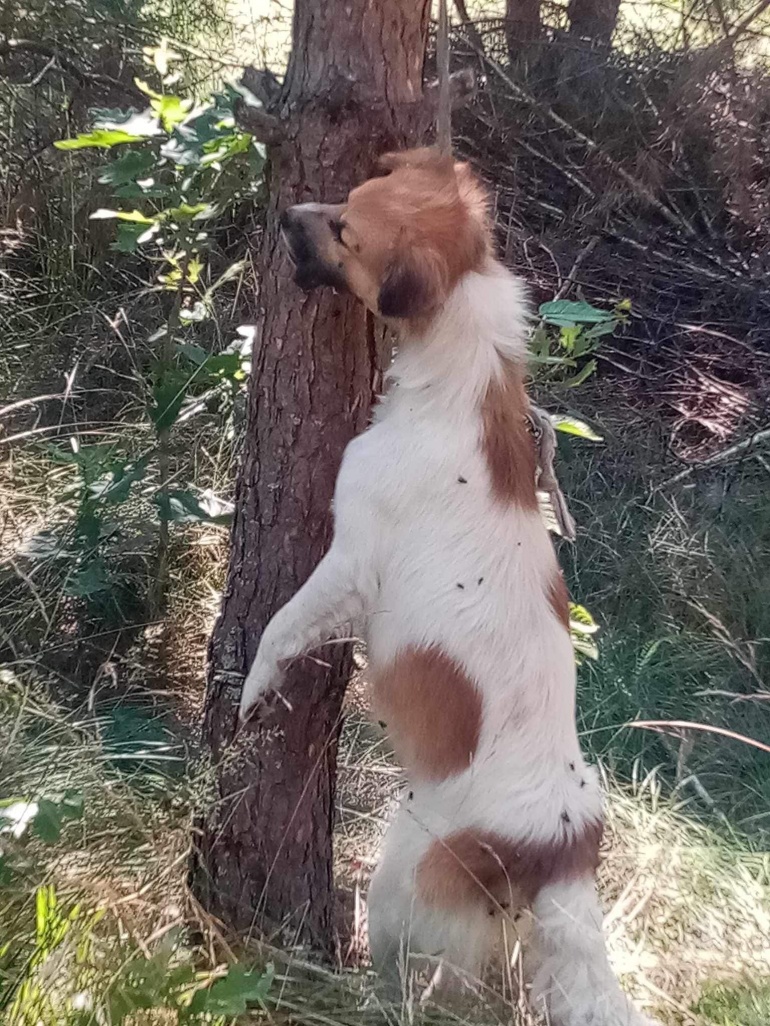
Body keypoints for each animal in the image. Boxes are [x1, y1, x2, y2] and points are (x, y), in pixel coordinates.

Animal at [240, 149, 657, 1026]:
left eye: (345, 229)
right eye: (347, 196)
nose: (286, 210)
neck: (460, 378)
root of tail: (562, 849)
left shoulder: (350, 556)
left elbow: (282, 627)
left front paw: (253, 689)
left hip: (400, 879)